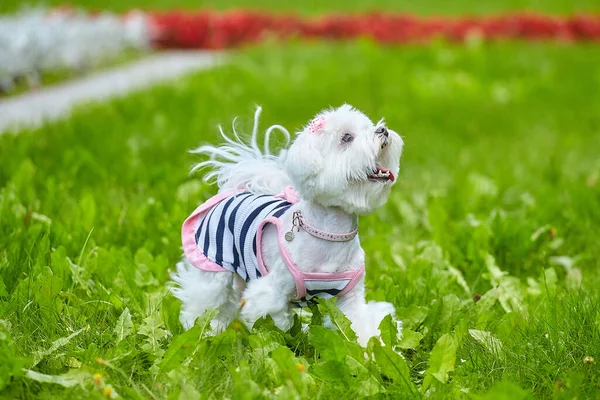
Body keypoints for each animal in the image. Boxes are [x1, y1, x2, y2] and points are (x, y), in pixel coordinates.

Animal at [170, 104, 404, 346]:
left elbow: (360, 324)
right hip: (214, 265)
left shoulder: (351, 298)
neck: (330, 234)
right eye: (347, 138)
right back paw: (201, 332)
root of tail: (234, 191)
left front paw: (373, 349)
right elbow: (273, 322)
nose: (383, 130)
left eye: (370, 126)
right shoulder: (271, 291)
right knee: (207, 299)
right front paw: (282, 340)